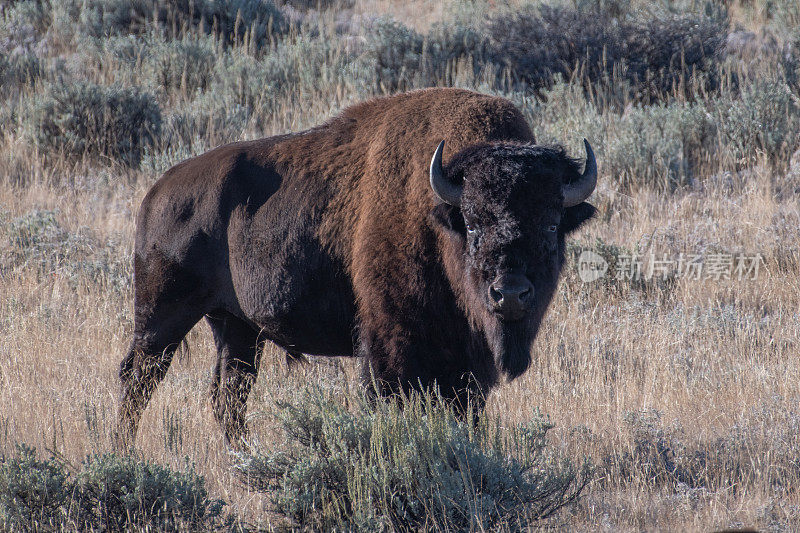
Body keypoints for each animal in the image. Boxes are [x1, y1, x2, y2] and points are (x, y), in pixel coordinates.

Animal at [117, 87, 592, 444]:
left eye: (551, 225)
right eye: (472, 225)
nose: (509, 294)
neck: (439, 213)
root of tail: (158, 190)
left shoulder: (467, 365)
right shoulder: (389, 346)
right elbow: (388, 397)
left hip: (236, 327)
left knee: (228, 395)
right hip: (163, 315)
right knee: (138, 379)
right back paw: (125, 450)